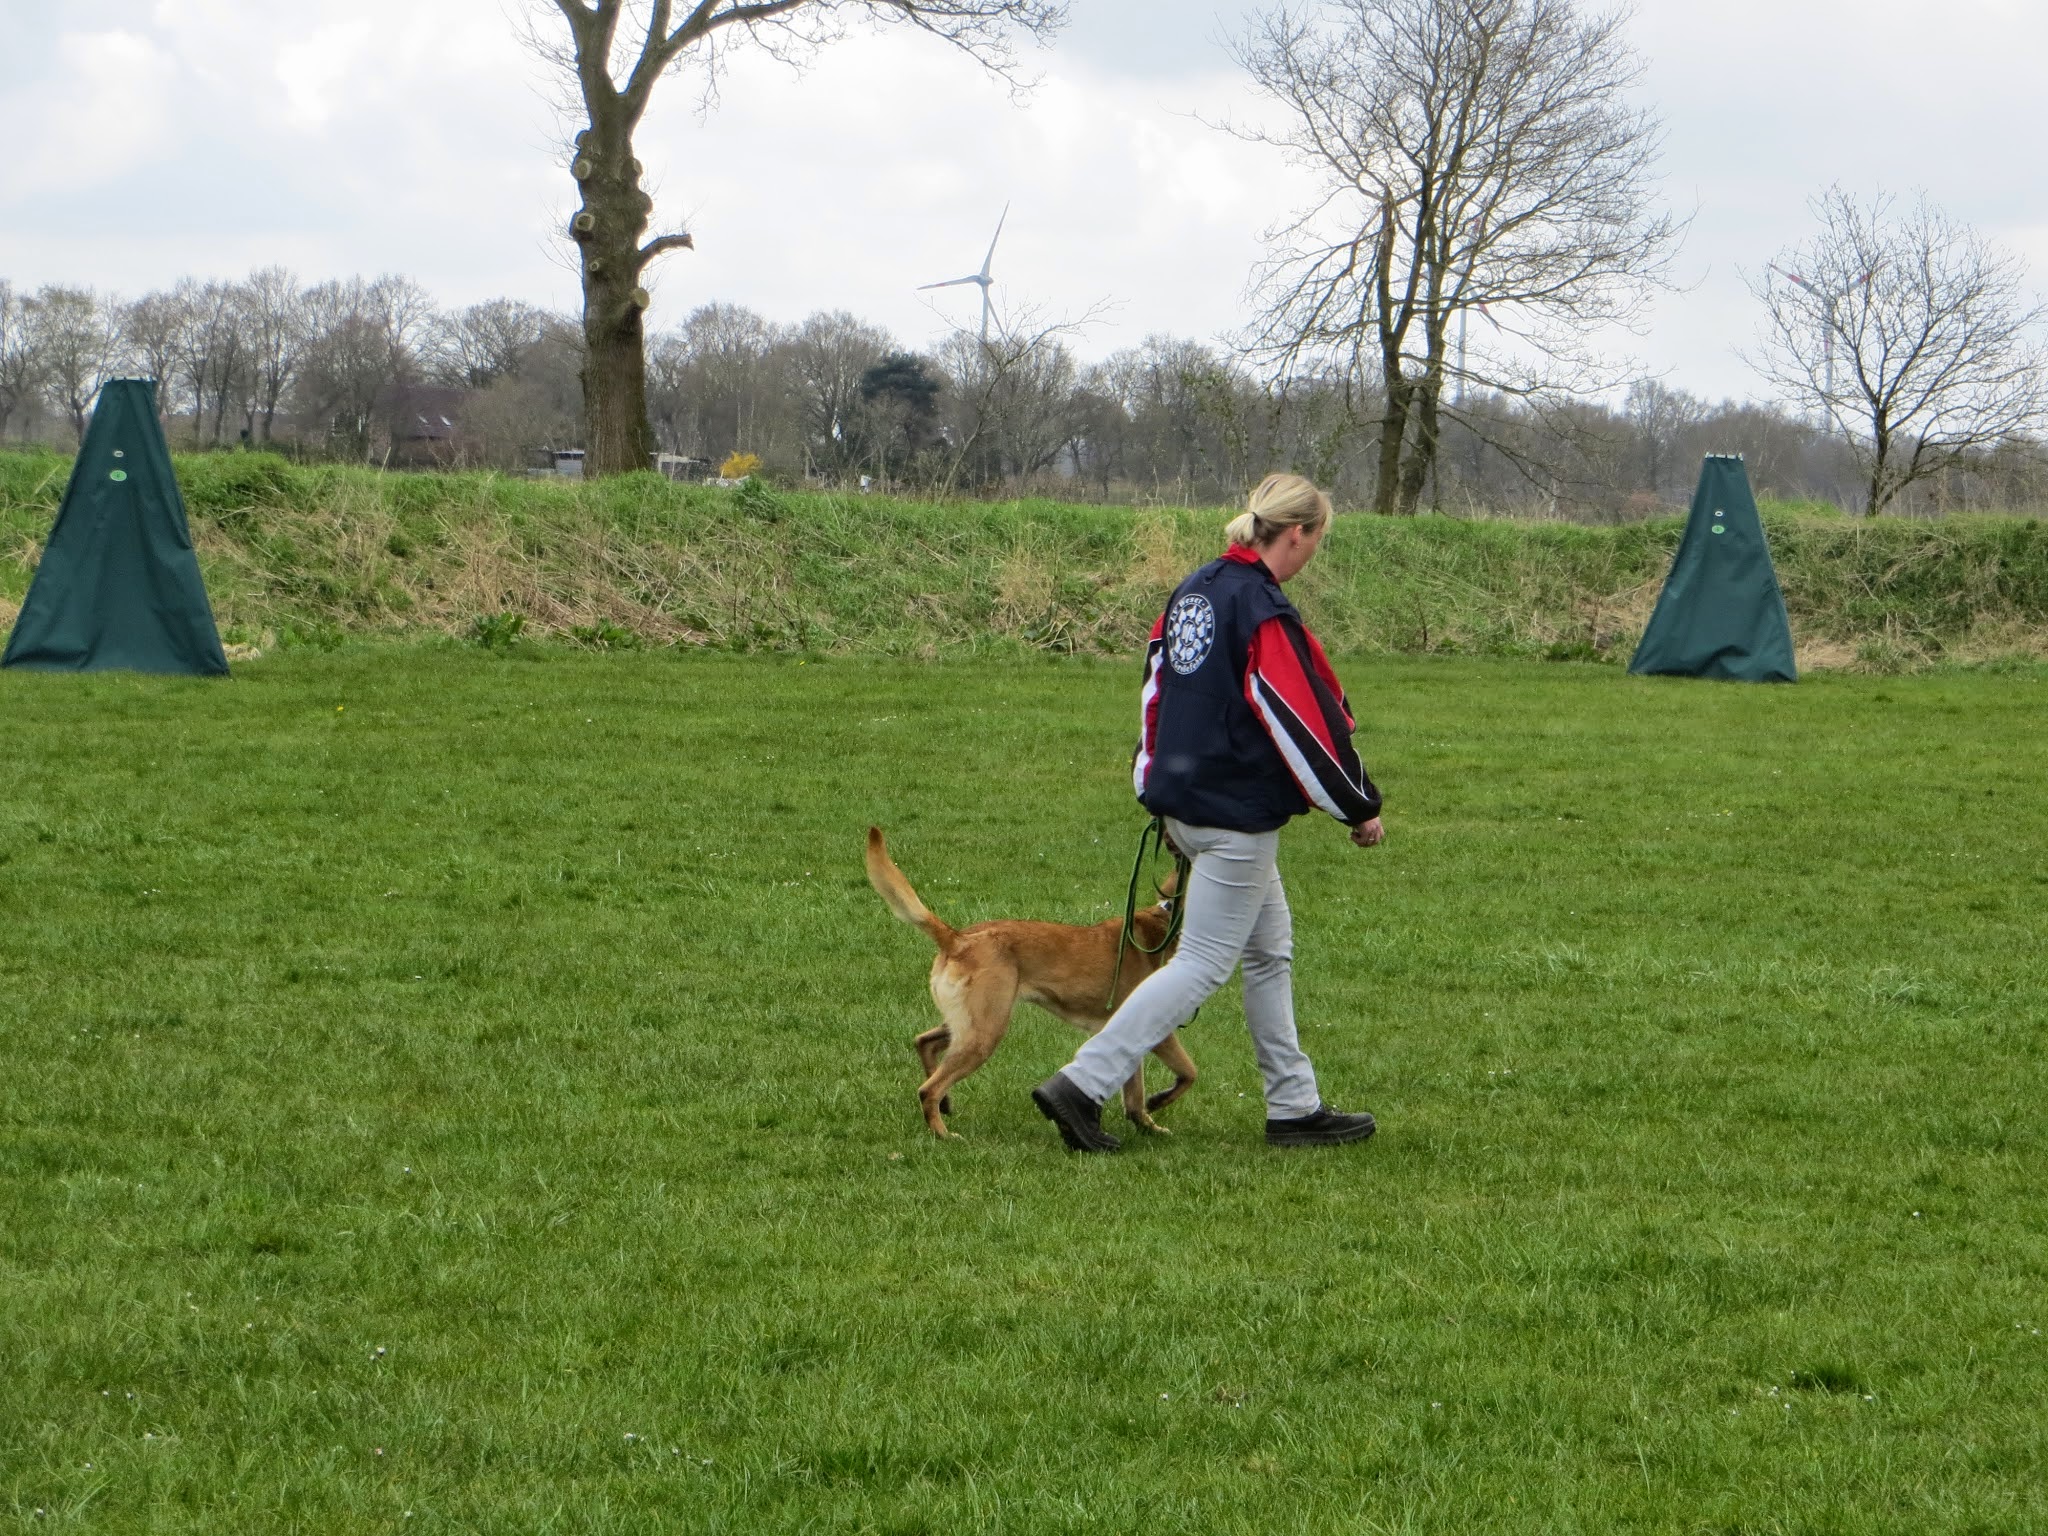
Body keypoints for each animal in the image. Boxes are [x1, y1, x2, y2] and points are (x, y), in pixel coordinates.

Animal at [865, 826, 1196, 1140]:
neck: (1163, 924)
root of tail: (958, 939)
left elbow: (1135, 1096)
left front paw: (1147, 1126)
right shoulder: (1156, 1028)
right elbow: (1188, 1072)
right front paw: (1158, 1104)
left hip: (968, 1023)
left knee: (924, 1043)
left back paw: (945, 1105)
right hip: (986, 1031)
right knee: (928, 1088)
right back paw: (944, 1134)